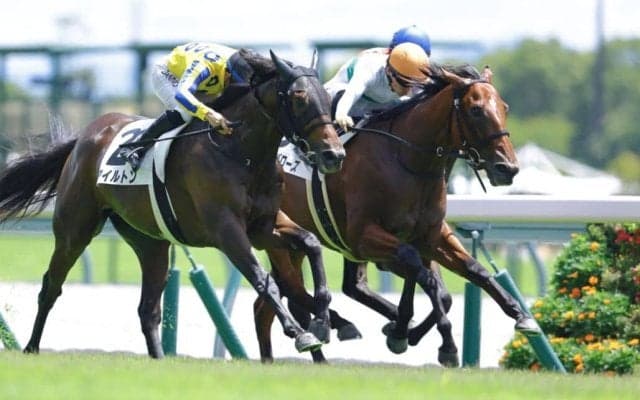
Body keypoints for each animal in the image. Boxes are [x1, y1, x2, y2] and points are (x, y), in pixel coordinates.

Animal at [0, 49, 346, 358]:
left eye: (326, 98)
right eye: (299, 98)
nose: (334, 154)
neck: (241, 152)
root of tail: (84, 137)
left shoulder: (263, 227)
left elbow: (311, 243)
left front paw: (322, 320)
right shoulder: (227, 231)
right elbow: (263, 280)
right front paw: (301, 333)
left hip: (150, 243)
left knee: (148, 309)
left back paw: (159, 359)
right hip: (74, 230)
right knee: (51, 286)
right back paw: (30, 347)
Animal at [252, 65, 541, 365]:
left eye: (505, 107)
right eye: (475, 110)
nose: (507, 168)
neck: (407, 159)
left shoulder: (429, 236)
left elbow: (470, 273)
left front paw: (521, 315)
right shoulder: (364, 238)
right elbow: (421, 272)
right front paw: (422, 337)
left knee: (270, 304)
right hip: (277, 237)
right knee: (291, 291)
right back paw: (336, 328)